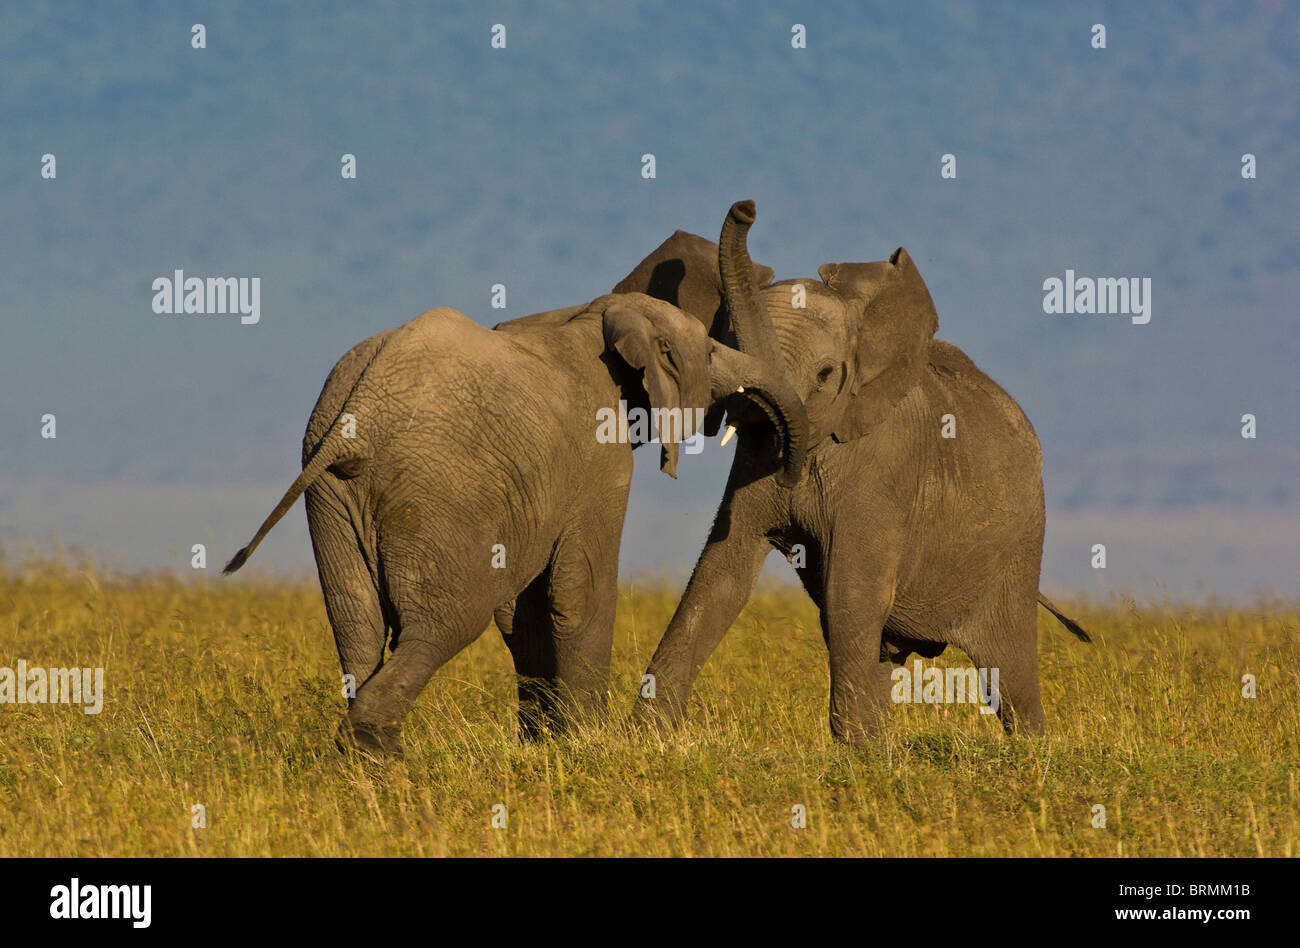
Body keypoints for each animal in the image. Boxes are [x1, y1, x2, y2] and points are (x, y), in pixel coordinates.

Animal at [227, 214, 806, 754]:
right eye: (708, 353)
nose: (788, 468)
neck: (599, 314)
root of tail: (361, 407)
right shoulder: (600, 455)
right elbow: (579, 589)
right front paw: (589, 742)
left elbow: (522, 606)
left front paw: (545, 743)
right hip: (438, 493)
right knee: (446, 620)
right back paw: (380, 751)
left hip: (332, 498)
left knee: (358, 623)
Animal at [637, 200, 1086, 743]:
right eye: (721, 347)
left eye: (826, 374)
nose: (747, 207)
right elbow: (720, 571)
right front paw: (648, 737)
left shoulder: (884, 469)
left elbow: (850, 591)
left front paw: (857, 752)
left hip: (1018, 545)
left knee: (1011, 668)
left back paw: (1032, 749)